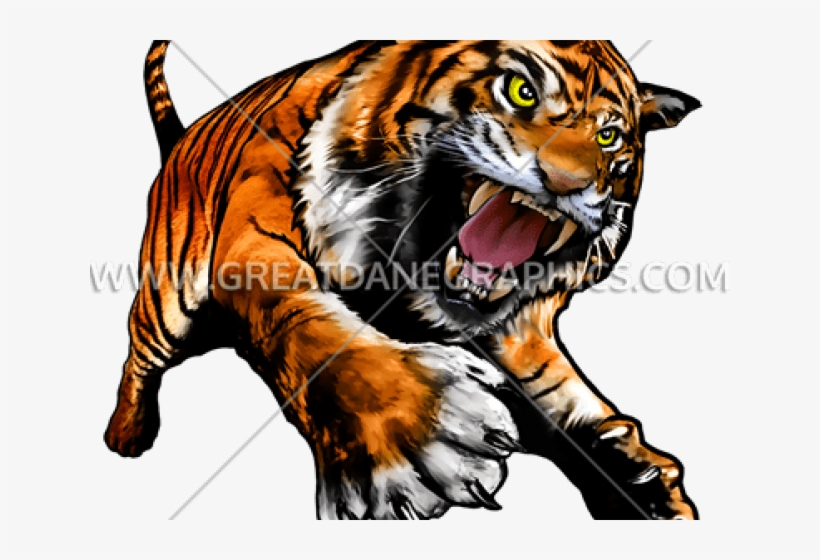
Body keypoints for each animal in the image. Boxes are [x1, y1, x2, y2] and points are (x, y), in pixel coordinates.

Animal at [104, 40, 700, 520]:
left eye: (609, 137)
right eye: (521, 92)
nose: (566, 182)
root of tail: (185, 136)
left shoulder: (512, 332)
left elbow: (564, 395)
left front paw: (644, 484)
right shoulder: (256, 244)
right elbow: (309, 325)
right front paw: (421, 436)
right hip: (166, 301)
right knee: (139, 358)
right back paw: (126, 437)